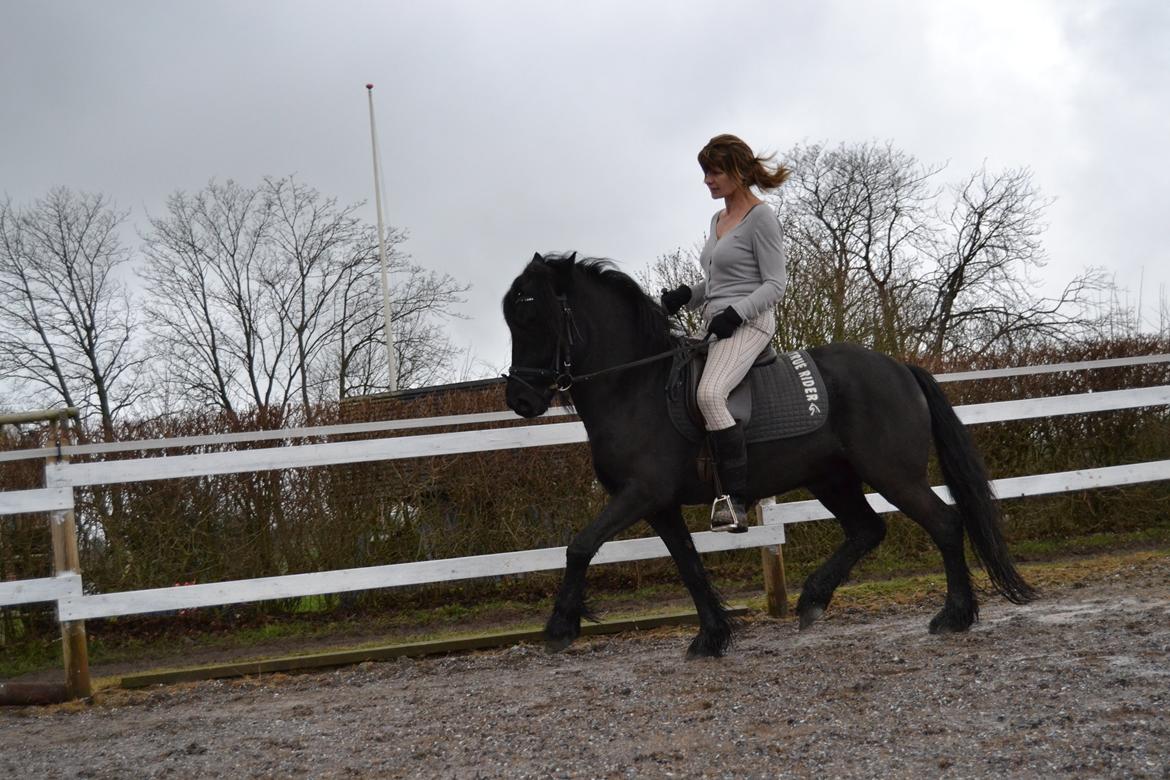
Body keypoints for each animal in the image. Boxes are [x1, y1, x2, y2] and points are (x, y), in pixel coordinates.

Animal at [502, 252, 1036, 658]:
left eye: (534, 318)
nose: (521, 400)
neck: (637, 385)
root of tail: (900, 368)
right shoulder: (659, 505)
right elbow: (688, 565)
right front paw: (711, 637)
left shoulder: (640, 494)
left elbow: (580, 546)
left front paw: (560, 628)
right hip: (831, 478)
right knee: (867, 529)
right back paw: (813, 600)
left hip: (891, 474)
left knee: (943, 523)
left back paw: (954, 615)